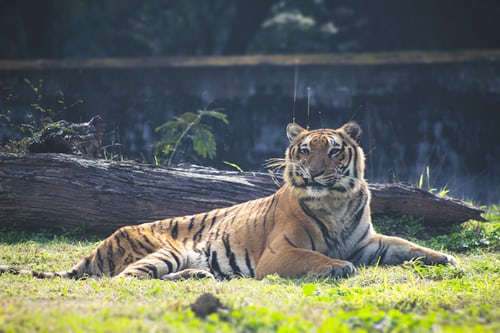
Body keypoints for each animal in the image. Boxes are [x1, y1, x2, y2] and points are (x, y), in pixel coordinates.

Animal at [0, 120, 458, 278]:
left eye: (333, 151)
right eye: (304, 150)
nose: (312, 172)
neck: (335, 201)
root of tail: (102, 243)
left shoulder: (367, 242)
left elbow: (408, 245)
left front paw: (447, 257)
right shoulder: (280, 254)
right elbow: (315, 257)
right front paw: (338, 267)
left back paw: (198, 278)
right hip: (163, 250)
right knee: (124, 278)